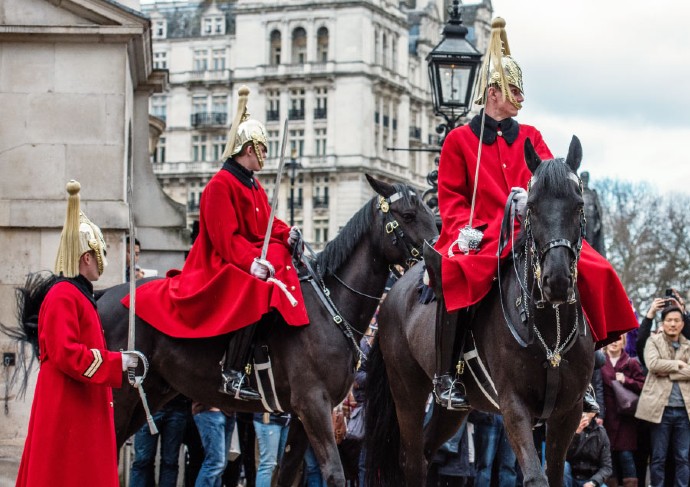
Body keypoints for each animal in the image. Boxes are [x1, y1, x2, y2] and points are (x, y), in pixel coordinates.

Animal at [9, 173, 436, 486]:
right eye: (408, 216)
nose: (437, 255)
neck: (327, 308)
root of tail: (99, 296)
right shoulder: (312, 406)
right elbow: (333, 474)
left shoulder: (305, 413)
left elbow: (285, 474)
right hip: (120, 394)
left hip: (152, 392)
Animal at [362, 138, 592, 487]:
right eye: (531, 208)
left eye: (578, 205)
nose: (557, 280)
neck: (549, 330)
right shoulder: (514, 406)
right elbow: (535, 476)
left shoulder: (569, 411)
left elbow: (554, 473)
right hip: (407, 392)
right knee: (411, 461)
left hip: (451, 411)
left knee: (427, 452)